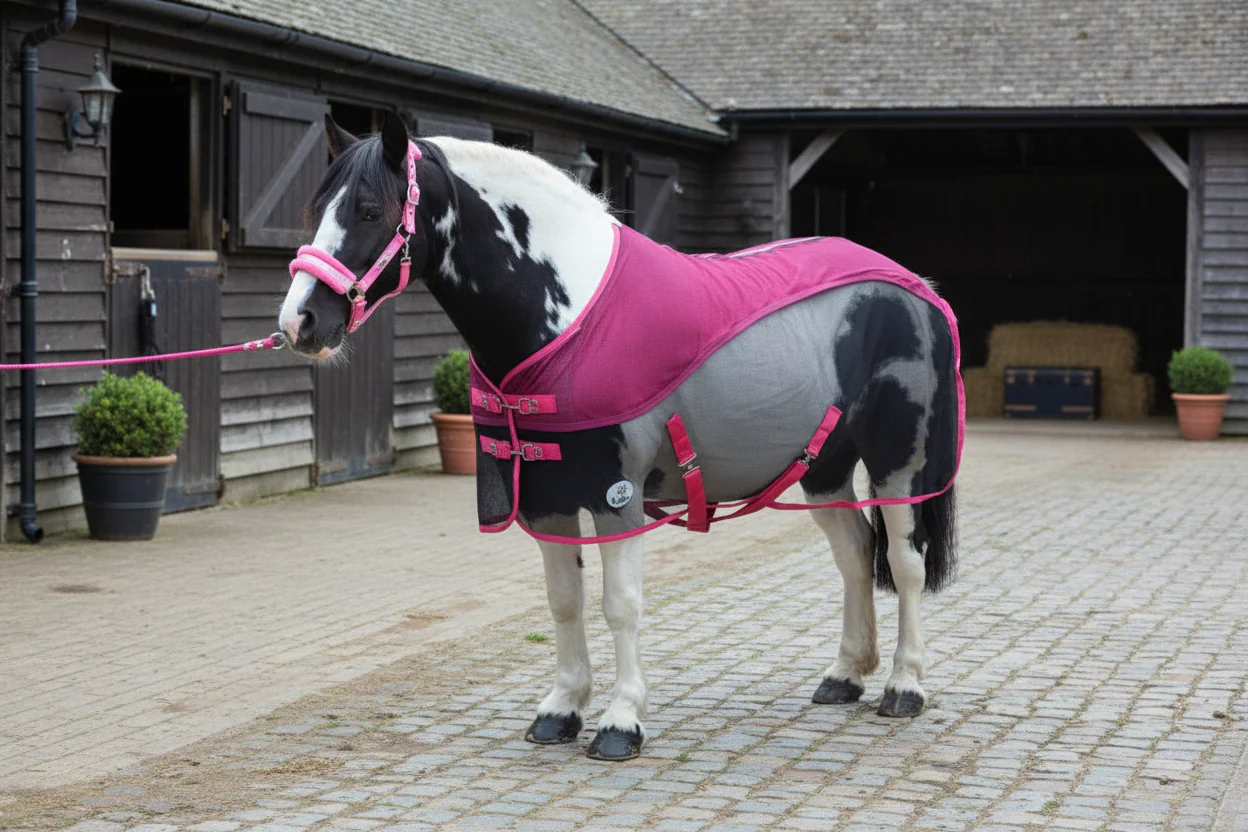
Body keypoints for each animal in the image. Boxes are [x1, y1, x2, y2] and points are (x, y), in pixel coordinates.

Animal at [278, 111, 962, 762]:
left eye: (371, 210)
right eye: (317, 207)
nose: (299, 321)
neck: (571, 316)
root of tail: (918, 288)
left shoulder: (618, 497)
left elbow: (620, 604)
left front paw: (620, 721)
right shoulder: (546, 497)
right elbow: (564, 601)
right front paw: (560, 710)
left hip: (900, 466)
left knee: (904, 564)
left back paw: (904, 685)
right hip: (823, 471)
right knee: (853, 555)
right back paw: (845, 675)